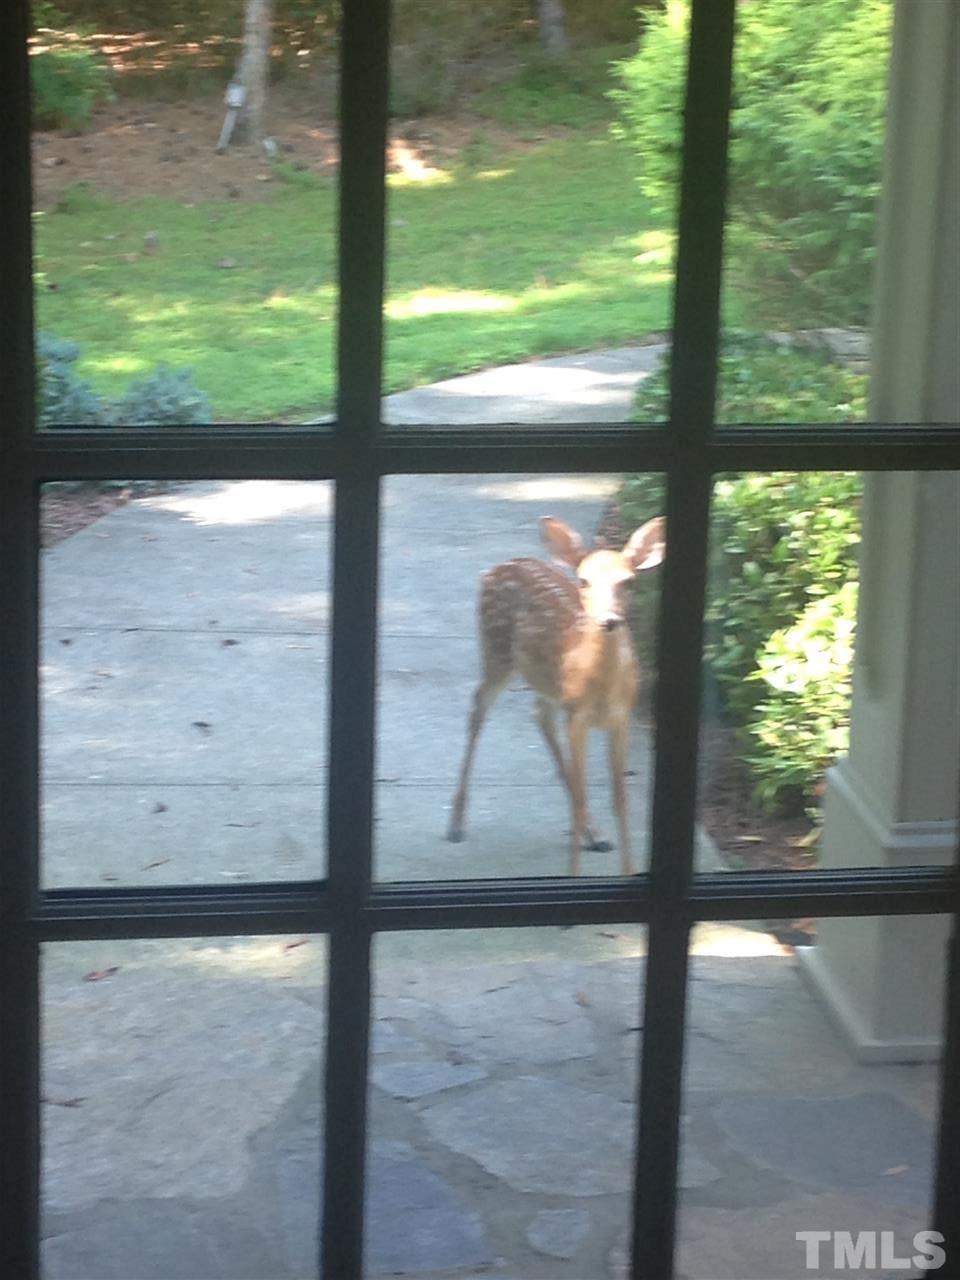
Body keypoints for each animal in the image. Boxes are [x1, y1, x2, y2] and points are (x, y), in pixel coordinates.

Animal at [447, 514, 666, 876]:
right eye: (584, 581)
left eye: (629, 581)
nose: (609, 620)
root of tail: (494, 569)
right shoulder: (577, 717)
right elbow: (580, 798)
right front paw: (573, 872)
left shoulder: (621, 719)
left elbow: (620, 801)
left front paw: (626, 869)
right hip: (496, 652)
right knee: (478, 705)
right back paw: (455, 823)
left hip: (544, 682)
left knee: (539, 714)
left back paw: (596, 835)